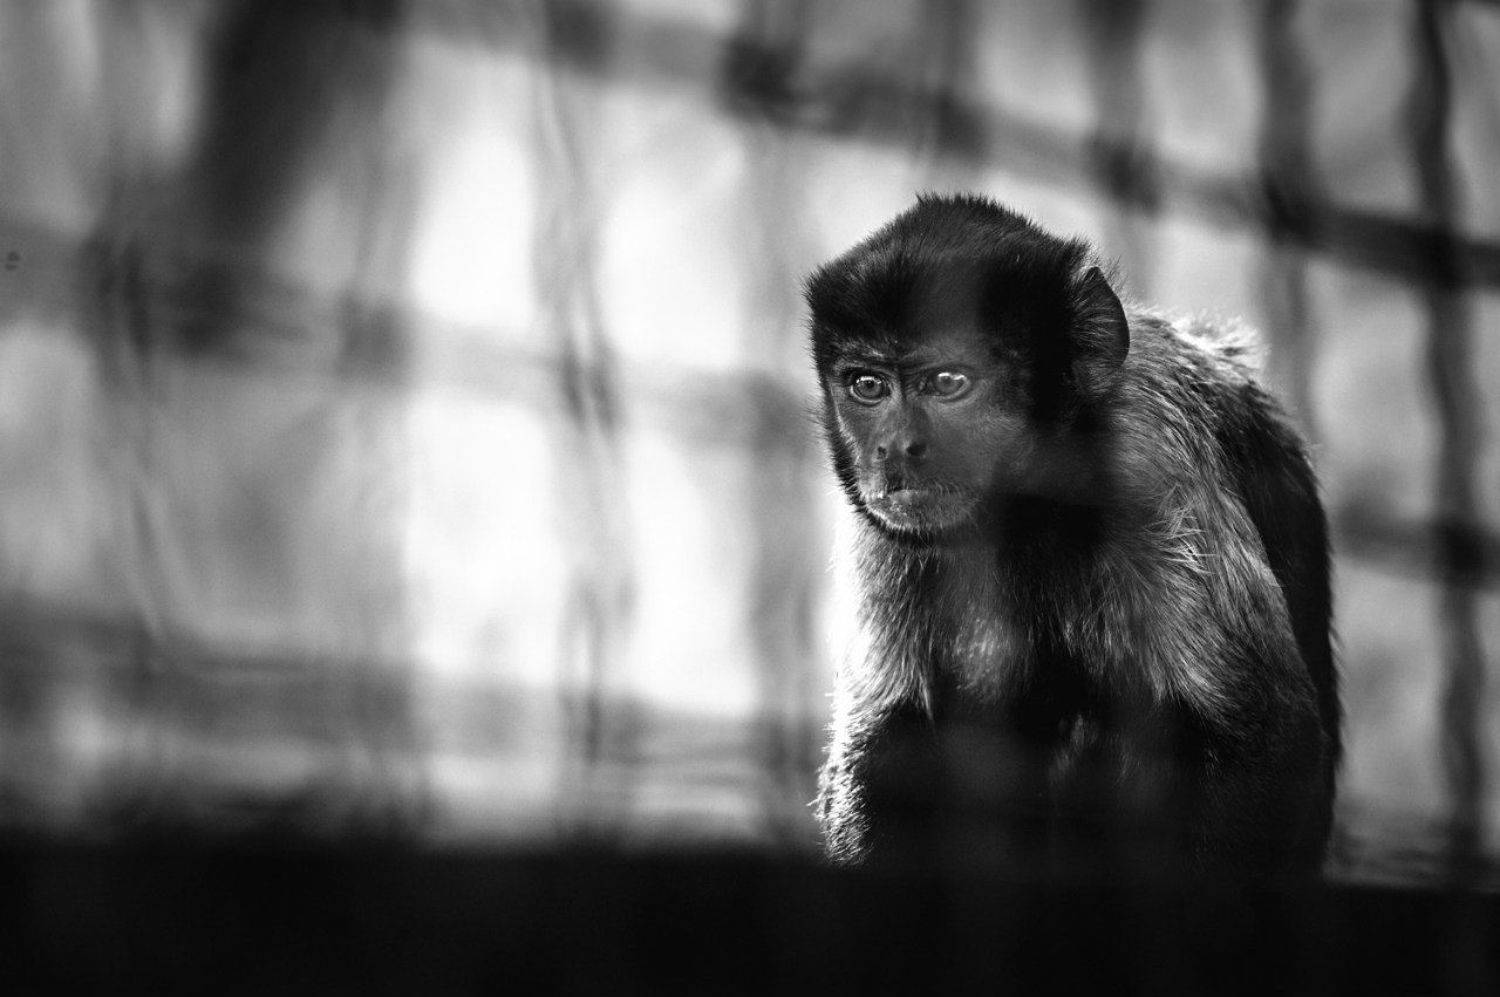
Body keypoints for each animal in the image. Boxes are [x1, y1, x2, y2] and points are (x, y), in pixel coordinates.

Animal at [804, 194, 1338, 879]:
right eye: (867, 386)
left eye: (949, 383)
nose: (894, 447)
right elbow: (886, 745)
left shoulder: (1150, 454)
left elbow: (1264, 740)